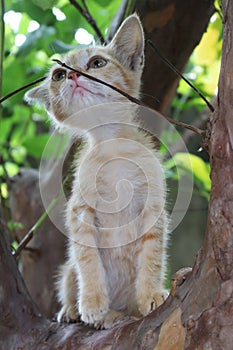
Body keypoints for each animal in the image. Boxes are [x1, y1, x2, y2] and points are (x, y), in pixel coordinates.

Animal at [25, 13, 168, 330]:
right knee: (71, 276)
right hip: (67, 272)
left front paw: (151, 293)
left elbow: (152, 255)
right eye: (58, 75)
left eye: (97, 63)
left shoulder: (153, 206)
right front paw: (91, 303)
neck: (111, 145)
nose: (74, 76)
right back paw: (81, 311)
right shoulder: (80, 211)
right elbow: (87, 258)